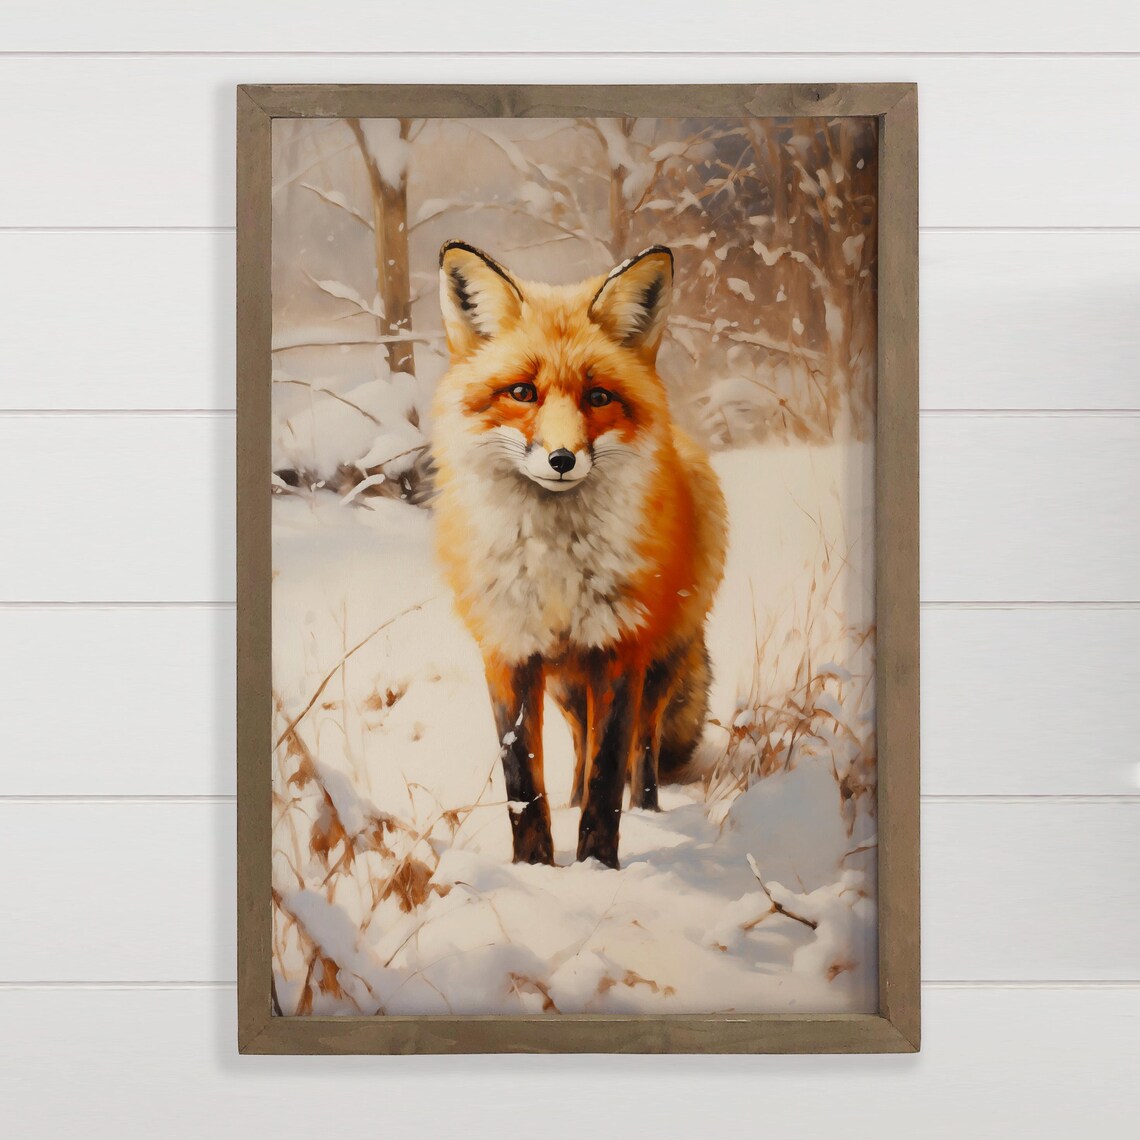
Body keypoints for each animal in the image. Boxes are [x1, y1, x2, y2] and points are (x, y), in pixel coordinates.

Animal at [431, 239, 728, 869]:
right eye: (523, 392)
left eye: (598, 397)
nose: (562, 459)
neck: (556, 569)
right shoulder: (509, 652)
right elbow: (523, 782)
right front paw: (536, 867)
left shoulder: (620, 649)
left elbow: (608, 771)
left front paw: (597, 864)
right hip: (567, 684)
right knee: (577, 739)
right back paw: (568, 802)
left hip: (658, 665)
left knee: (641, 745)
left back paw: (647, 811)